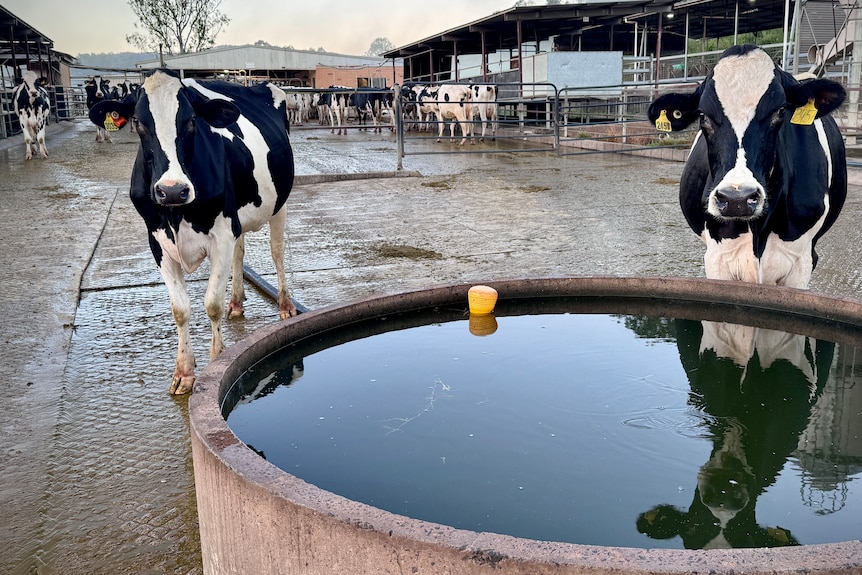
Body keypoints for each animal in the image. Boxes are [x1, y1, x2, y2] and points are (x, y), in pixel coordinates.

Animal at [87, 69, 297, 395]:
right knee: (240, 253)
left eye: (191, 120)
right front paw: (184, 372)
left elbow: (211, 303)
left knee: (277, 253)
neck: (177, 212)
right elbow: (180, 309)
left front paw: (215, 363)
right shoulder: (157, 241)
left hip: (279, 204)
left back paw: (286, 305)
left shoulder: (221, 234)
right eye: (139, 122)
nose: (172, 190)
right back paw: (236, 302)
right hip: (237, 219)